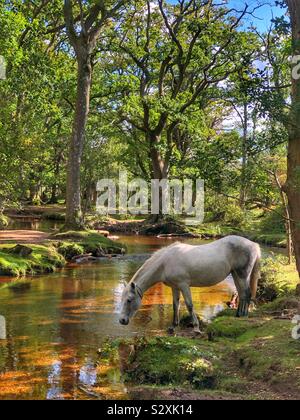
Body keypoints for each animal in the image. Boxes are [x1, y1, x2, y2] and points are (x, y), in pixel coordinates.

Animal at [119, 235, 260, 334]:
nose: (122, 320)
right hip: (236, 274)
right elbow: (175, 305)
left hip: (242, 274)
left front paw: (196, 328)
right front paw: (173, 327)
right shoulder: (175, 287)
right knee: (241, 294)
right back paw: (238, 316)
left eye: (129, 300)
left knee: (246, 293)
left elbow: (189, 305)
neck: (165, 263)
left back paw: (244, 316)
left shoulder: (184, 285)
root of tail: (253, 244)